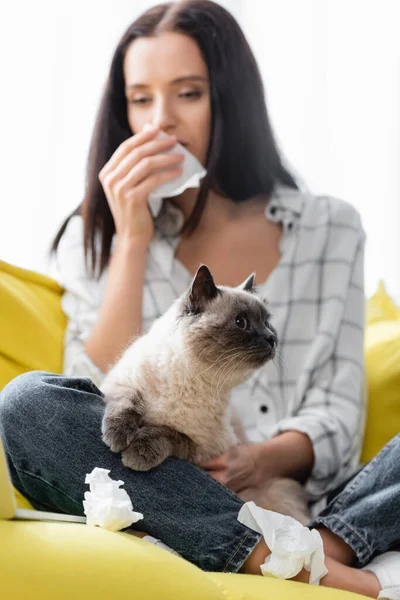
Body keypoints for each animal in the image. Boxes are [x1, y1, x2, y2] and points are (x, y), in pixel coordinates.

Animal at [100, 264, 310, 524]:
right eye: (241, 322)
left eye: (266, 323)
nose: (271, 339)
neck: (189, 381)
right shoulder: (120, 384)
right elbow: (126, 404)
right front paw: (118, 437)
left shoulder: (203, 452)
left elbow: (168, 433)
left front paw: (137, 452)